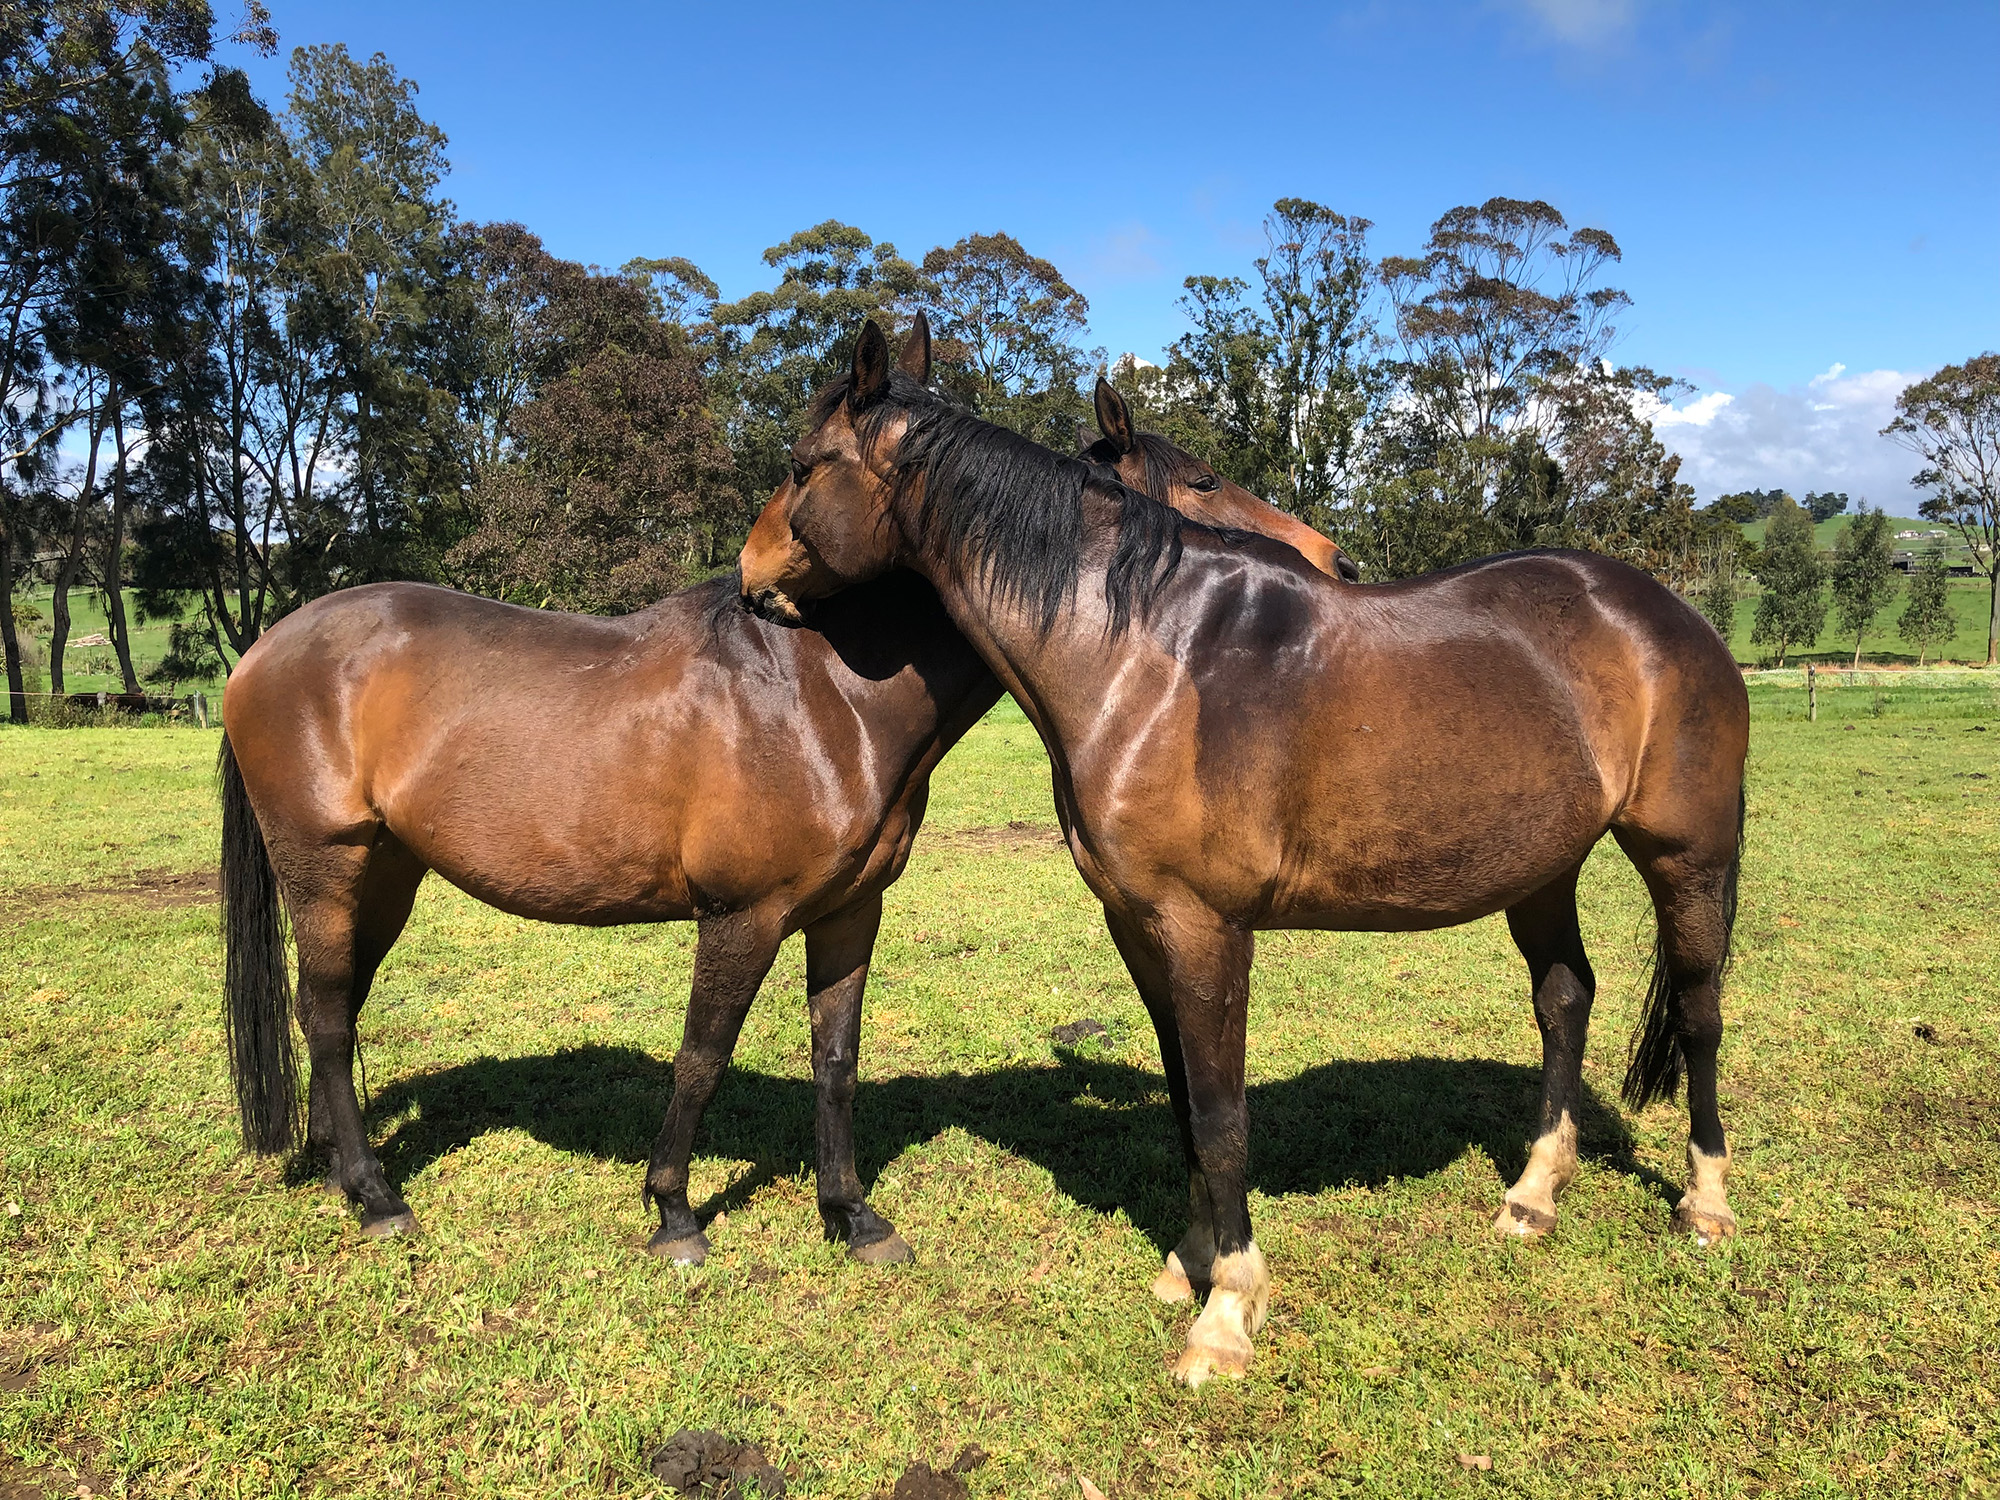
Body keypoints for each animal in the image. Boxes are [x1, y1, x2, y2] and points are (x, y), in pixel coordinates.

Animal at [217, 314, 1351, 1263]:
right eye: (1198, 480)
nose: (1328, 558)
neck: (826, 693)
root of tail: (266, 645)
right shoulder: (741, 915)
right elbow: (700, 1056)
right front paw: (674, 1214)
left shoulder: (848, 910)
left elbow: (834, 1057)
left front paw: (850, 1215)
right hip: (325, 865)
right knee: (326, 1015)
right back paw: (376, 1196)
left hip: (387, 871)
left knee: (336, 1008)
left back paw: (339, 1171)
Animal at [738, 319, 1750, 1385]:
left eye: (803, 465)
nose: (750, 575)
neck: (1146, 655)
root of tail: (1669, 613)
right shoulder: (1141, 927)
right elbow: (1187, 1101)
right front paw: (1189, 1263)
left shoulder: (1207, 928)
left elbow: (1223, 1121)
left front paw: (1226, 1311)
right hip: (1544, 868)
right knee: (1564, 1000)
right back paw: (1533, 1194)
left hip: (1685, 857)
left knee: (1699, 1013)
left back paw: (1706, 1204)